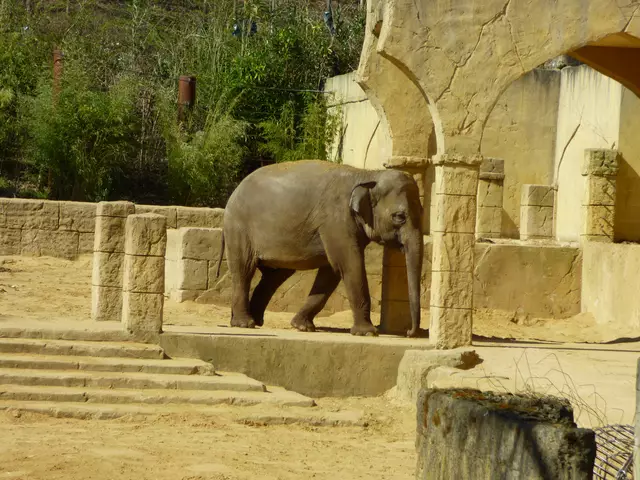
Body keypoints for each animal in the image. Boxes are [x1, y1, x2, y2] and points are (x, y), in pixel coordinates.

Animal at [216, 160, 424, 337]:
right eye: (399, 216)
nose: (409, 332)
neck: (367, 174)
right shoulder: (336, 220)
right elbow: (349, 265)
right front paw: (368, 333)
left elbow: (330, 272)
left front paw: (302, 327)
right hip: (239, 228)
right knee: (244, 269)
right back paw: (245, 324)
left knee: (275, 276)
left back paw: (255, 321)